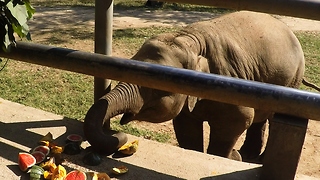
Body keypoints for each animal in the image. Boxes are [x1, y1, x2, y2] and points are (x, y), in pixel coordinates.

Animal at [84, 11, 306, 160]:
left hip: (293, 77)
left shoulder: (229, 82)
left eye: (157, 87)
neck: (189, 39)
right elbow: (187, 128)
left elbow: (239, 120)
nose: (118, 135)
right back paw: (249, 155)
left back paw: (253, 158)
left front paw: (230, 157)